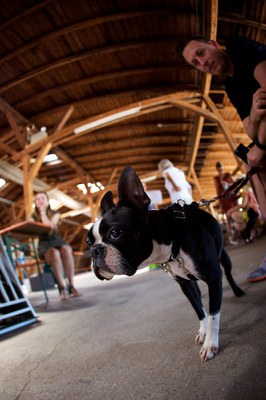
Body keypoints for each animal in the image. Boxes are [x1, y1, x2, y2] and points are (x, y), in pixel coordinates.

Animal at [87, 167, 243, 360]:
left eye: (115, 233)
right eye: (88, 242)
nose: (95, 250)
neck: (173, 241)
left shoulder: (213, 277)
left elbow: (214, 314)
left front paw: (210, 343)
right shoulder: (184, 284)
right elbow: (198, 309)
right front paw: (203, 331)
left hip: (224, 259)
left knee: (228, 273)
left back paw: (237, 291)